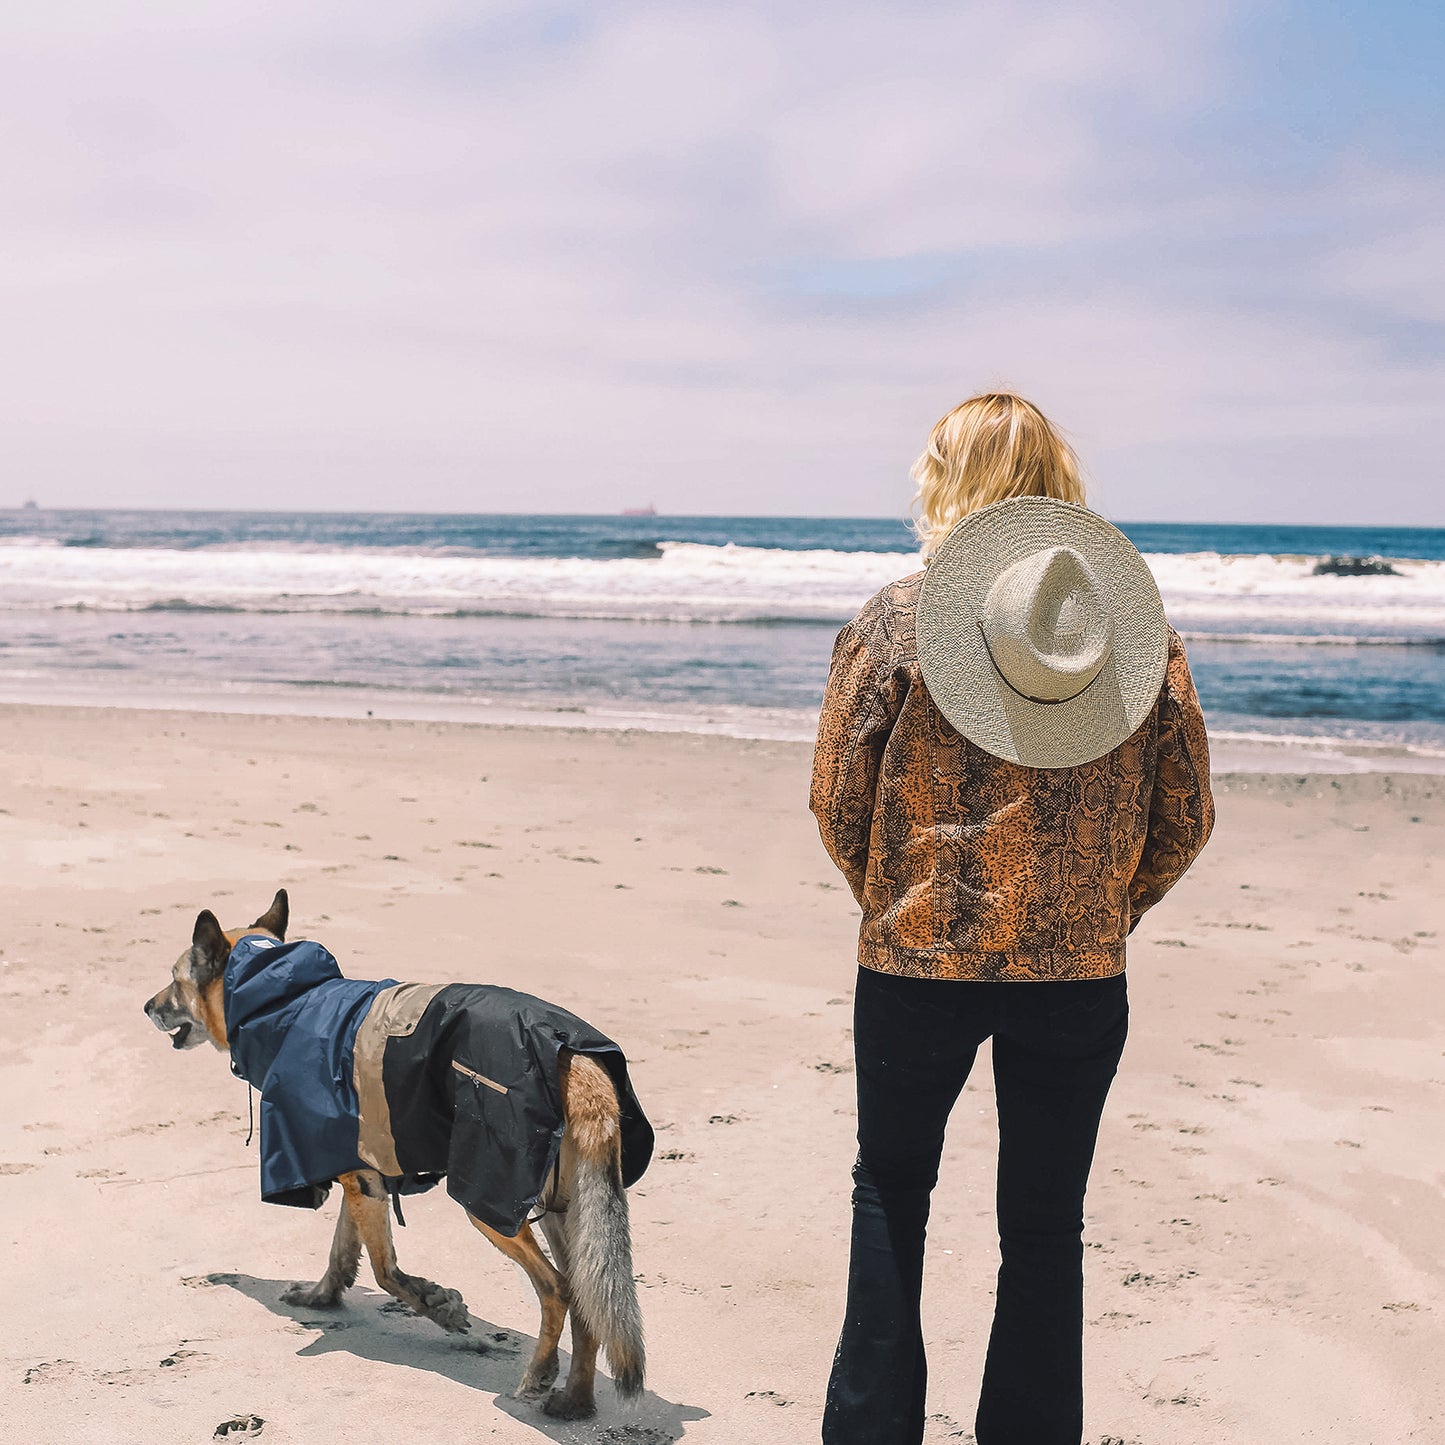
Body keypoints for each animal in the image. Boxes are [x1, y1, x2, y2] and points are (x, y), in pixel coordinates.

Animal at [143, 884, 653, 1416]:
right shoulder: (357, 1173)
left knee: (557, 1288)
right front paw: (323, 1297)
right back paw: (574, 1401)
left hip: (489, 1203)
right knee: (585, 1295)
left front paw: (437, 1306)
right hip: (562, 1209)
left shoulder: (362, 1181)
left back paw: (539, 1375)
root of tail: (577, 1062)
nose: (146, 1006)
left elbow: (385, 1271)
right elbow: (343, 1251)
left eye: (174, 980)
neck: (285, 1001)